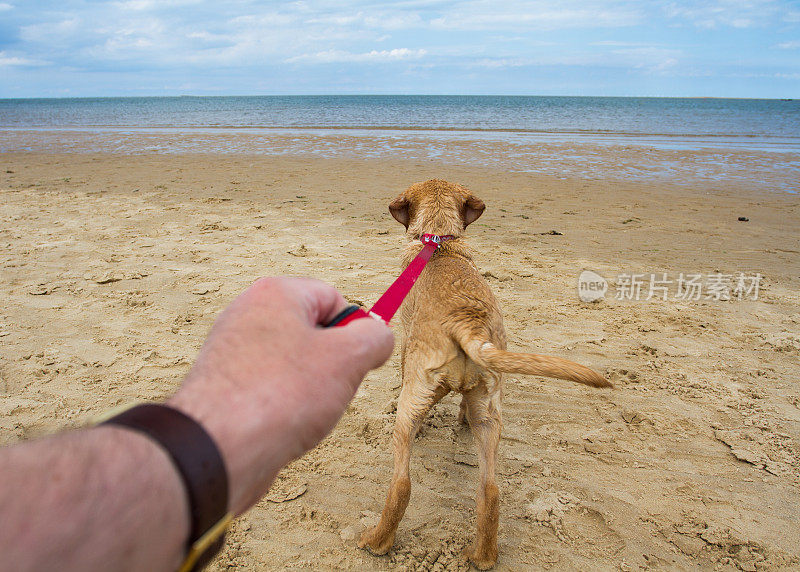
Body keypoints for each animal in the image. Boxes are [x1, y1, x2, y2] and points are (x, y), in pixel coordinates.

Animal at [360, 179, 608, 568]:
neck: (440, 242)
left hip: (411, 404)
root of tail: (467, 321)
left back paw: (376, 541)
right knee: (490, 490)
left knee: (402, 484)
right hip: (489, 411)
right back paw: (482, 555)